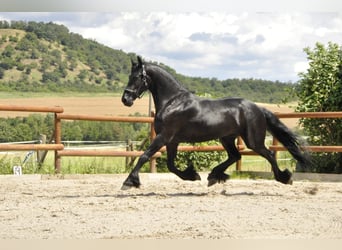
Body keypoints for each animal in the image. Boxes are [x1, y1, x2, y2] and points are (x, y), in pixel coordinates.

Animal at [120, 56, 310, 189]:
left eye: (138, 76)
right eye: (129, 75)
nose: (125, 99)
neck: (172, 102)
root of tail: (258, 108)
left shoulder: (164, 136)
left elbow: (145, 156)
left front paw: (129, 182)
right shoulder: (172, 141)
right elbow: (171, 165)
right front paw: (192, 175)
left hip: (253, 140)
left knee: (268, 154)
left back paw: (284, 178)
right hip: (227, 138)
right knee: (235, 156)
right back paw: (214, 176)